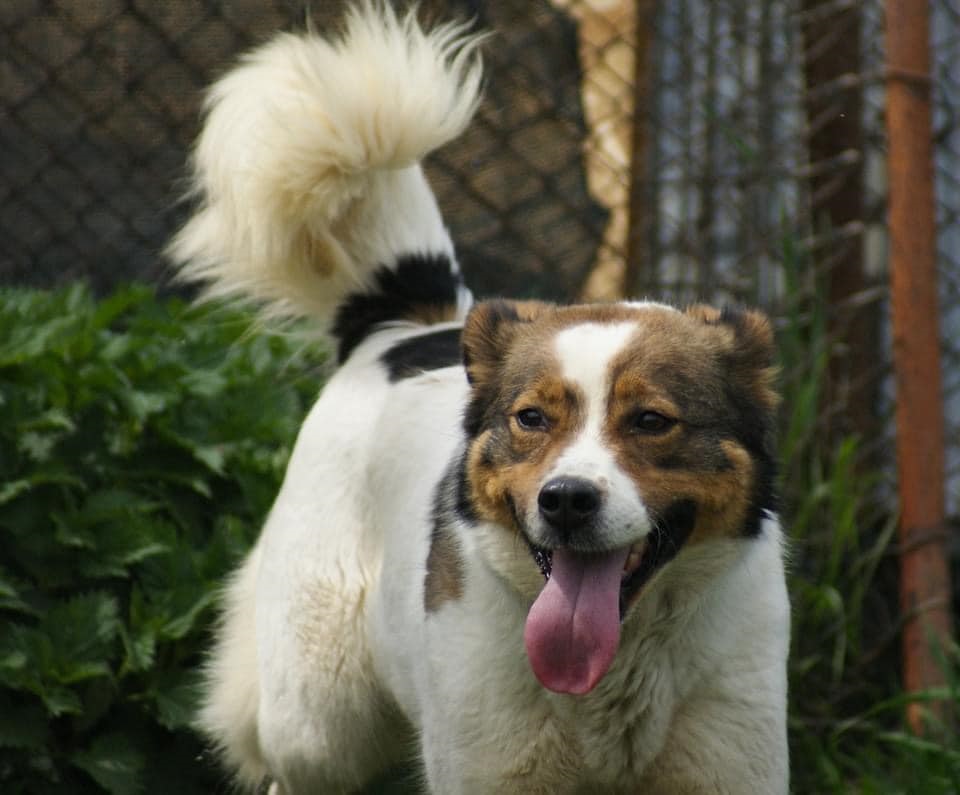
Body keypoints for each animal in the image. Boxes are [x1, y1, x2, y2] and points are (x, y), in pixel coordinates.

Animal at [170, 4, 790, 792]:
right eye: (531, 419)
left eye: (652, 421)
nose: (565, 501)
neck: (616, 663)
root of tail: (408, 324)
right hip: (320, 725)